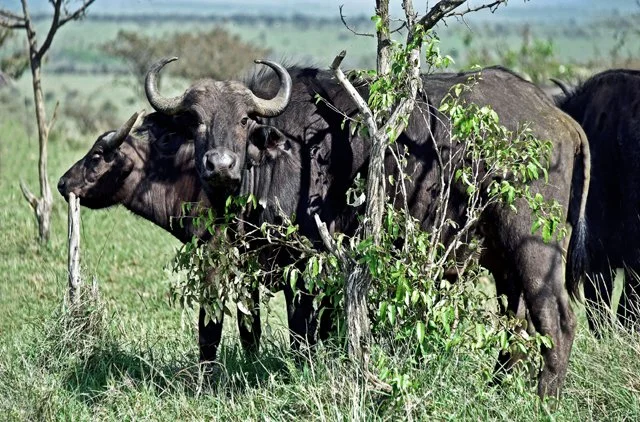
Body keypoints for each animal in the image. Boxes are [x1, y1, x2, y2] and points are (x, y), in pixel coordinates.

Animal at [56, 111, 263, 363]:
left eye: (96, 155)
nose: (62, 183)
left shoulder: (215, 260)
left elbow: (211, 325)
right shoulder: (247, 267)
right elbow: (250, 326)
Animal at [144, 59, 590, 399]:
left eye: (242, 120)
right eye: (196, 122)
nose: (219, 165)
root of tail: (559, 119)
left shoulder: (308, 265)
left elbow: (302, 333)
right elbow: (218, 327)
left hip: (535, 246)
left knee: (556, 318)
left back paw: (544, 396)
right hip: (502, 260)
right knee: (516, 322)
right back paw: (496, 386)